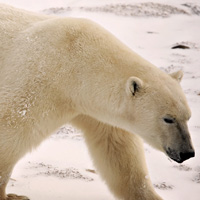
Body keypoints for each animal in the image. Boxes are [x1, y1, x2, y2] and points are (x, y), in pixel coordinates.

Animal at [0, 3, 194, 200]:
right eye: (168, 119)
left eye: (188, 117)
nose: (187, 153)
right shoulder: (41, 80)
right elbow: (11, 128)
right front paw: (9, 195)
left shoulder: (95, 109)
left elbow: (119, 151)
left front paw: (148, 195)